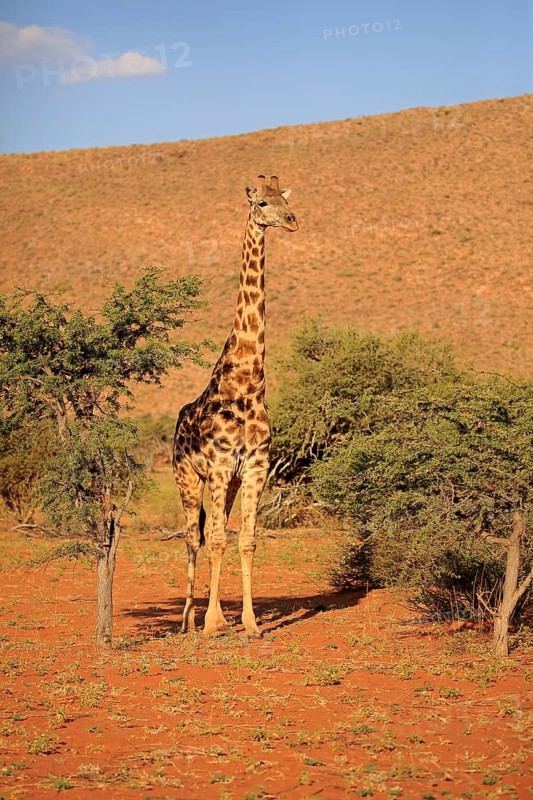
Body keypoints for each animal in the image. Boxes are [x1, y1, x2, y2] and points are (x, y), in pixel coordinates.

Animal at [173, 174, 298, 637]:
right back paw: (189, 620)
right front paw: (211, 623)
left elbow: (245, 540)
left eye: (285, 199)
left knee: (212, 535)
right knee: (194, 539)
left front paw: (249, 622)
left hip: (221, 485)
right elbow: (217, 540)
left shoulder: (256, 467)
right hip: (189, 478)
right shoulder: (222, 465)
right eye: (262, 202)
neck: (247, 385)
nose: (292, 220)